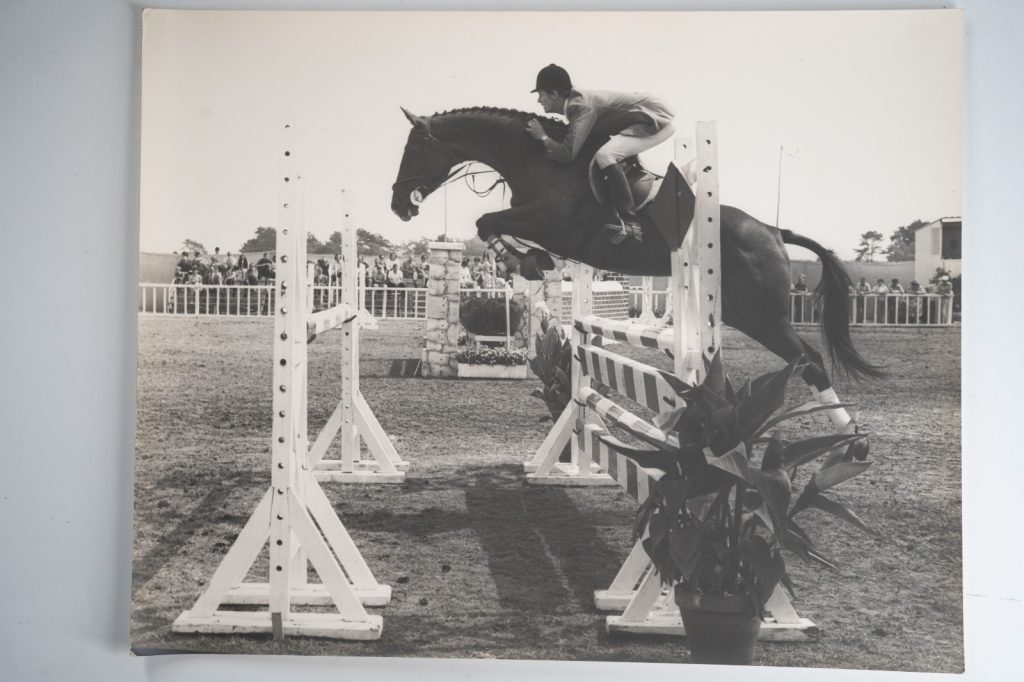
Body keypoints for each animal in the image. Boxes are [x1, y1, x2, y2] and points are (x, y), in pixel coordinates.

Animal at [389, 106, 883, 426]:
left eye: (414, 150)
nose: (399, 206)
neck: (541, 160)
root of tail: (773, 231)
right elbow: (489, 224)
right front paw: (529, 261)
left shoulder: (553, 223)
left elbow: (488, 221)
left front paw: (528, 260)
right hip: (740, 312)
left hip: (763, 313)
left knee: (810, 360)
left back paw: (850, 440)